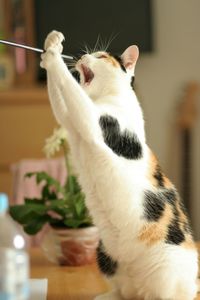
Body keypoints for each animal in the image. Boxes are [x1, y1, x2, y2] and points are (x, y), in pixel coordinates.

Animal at [39, 31, 198, 300]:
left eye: (101, 56)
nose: (81, 56)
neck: (103, 97)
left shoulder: (90, 122)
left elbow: (70, 89)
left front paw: (52, 50)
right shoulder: (70, 122)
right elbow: (61, 102)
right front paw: (49, 50)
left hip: (167, 267)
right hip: (104, 254)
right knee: (123, 292)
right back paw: (106, 296)